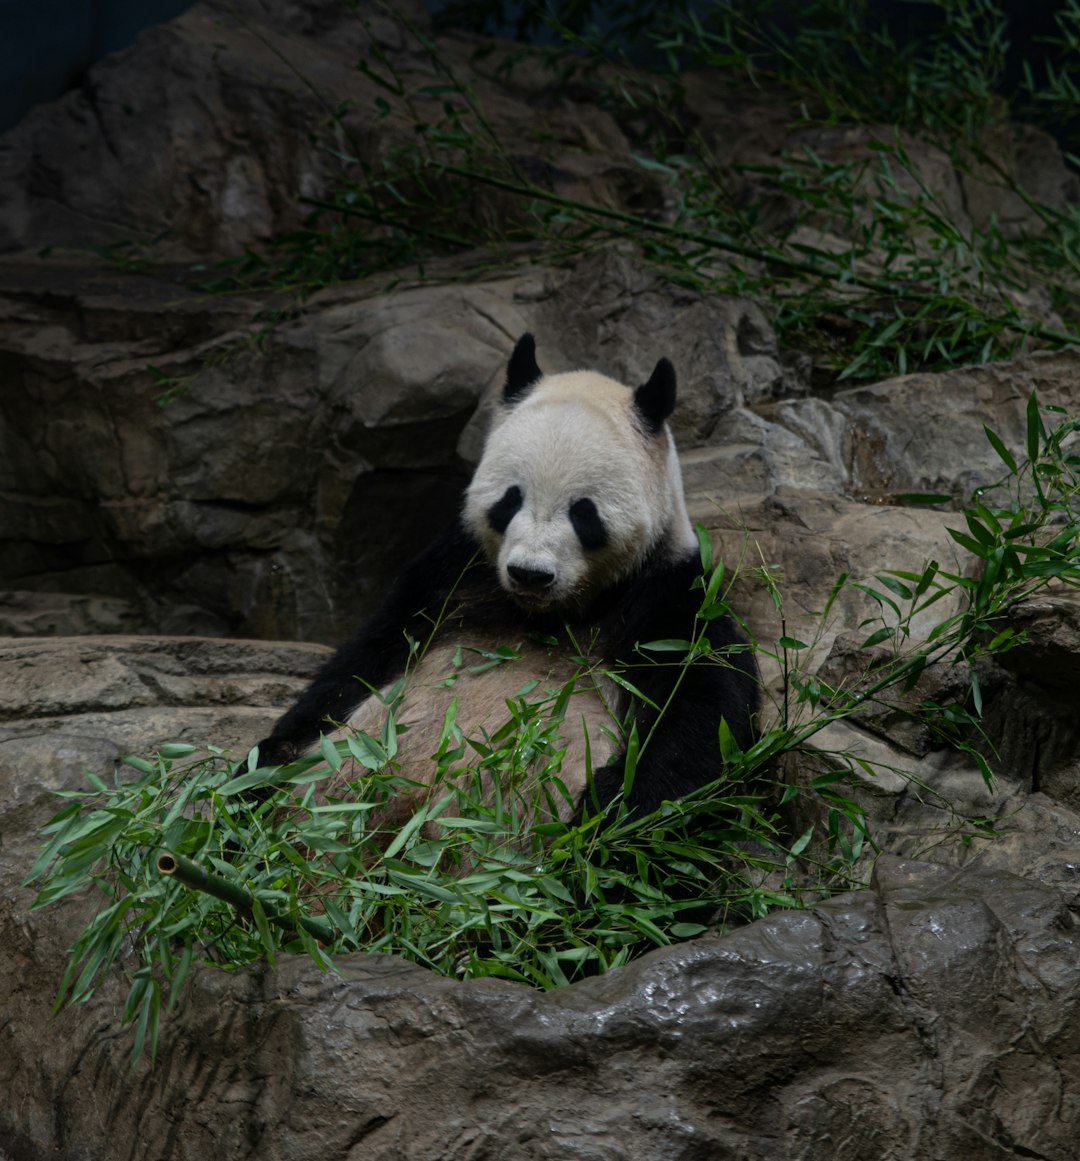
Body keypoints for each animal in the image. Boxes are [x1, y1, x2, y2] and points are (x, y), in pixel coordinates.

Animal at [253, 334, 757, 826]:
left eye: (584, 513)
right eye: (510, 500)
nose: (530, 574)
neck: (551, 612)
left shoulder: (665, 596)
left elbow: (702, 716)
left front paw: (605, 814)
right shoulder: (452, 572)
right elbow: (363, 661)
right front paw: (269, 759)